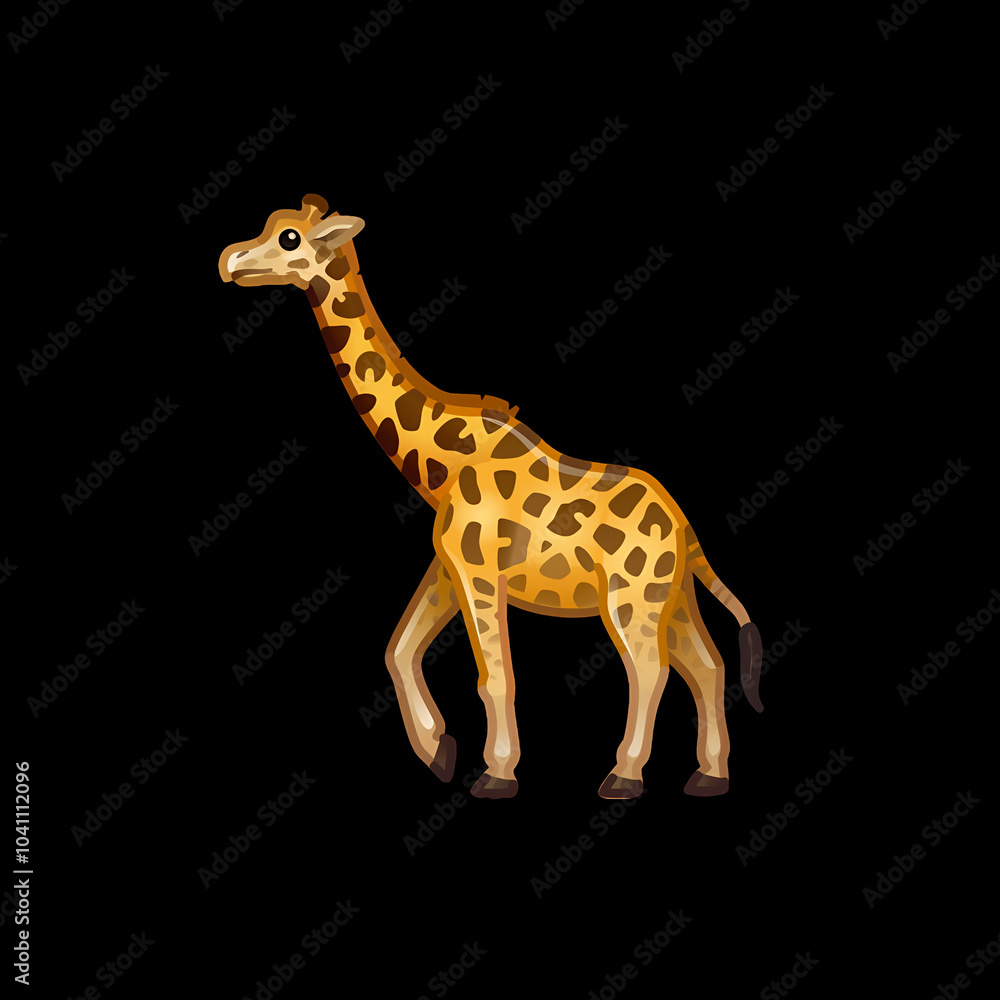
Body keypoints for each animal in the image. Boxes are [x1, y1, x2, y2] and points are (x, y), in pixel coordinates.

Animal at [218, 194, 763, 800]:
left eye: (289, 238)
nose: (230, 261)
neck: (443, 461)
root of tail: (685, 529)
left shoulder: (481, 570)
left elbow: (494, 675)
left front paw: (496, 775)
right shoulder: (448, 565)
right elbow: (398, 649)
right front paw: (440, 752)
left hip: (633, 596)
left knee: (651, 669)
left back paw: (623, 777)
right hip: (672, 596)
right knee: (707, 665)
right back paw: (709, 776)